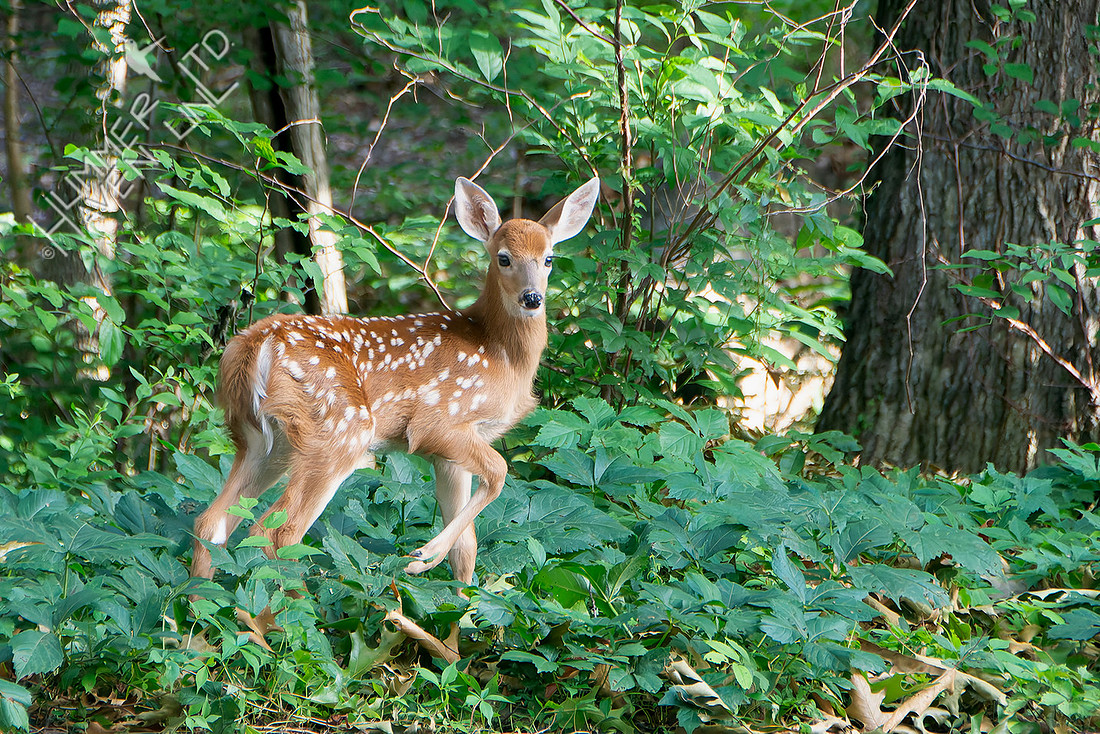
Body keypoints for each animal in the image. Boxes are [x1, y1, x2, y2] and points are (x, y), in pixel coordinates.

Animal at [191, 176, 601, 587]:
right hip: (338, 431)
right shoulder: (439, 421)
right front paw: (422, 557)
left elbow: (466, 546)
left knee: (212, 522)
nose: (532, 298)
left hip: (264, 441)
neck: (500, 353)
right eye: (504, 258)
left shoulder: (453, 451)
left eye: (548, 258)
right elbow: (499, 473)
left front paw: (459, 595)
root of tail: (256, 345)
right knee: (278, 532)